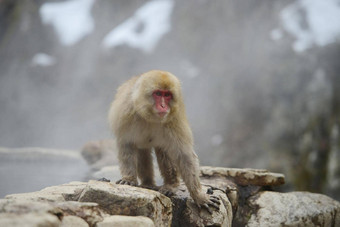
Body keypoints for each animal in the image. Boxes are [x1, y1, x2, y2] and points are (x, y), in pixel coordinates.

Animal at [108, 70, 220, 212]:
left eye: (167, 95)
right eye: (158, 93)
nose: (163, 106)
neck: (149, 115)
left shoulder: (174, 119)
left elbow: (184, 155)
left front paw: (199, 196)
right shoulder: (125, 114)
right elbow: (126, 144)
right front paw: (129, 179)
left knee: (165, 151)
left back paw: (170, 185)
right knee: (142, 151)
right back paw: (148, 183)